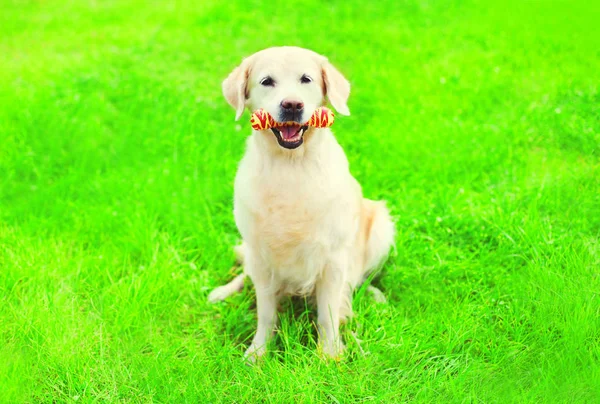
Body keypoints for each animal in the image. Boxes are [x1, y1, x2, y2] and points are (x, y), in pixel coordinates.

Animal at [209, 46, 396, 360]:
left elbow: (328, 314)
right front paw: (257, 352)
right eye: (267, 81)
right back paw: (221, 292)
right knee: (244, 274)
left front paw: (329, 354)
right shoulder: (260, 255)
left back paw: (375, 297)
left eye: (306, 79)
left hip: (381, 226)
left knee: (360, 280)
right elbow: (266, 313)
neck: (291, 166)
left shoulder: (333, 258)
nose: (292, 105)